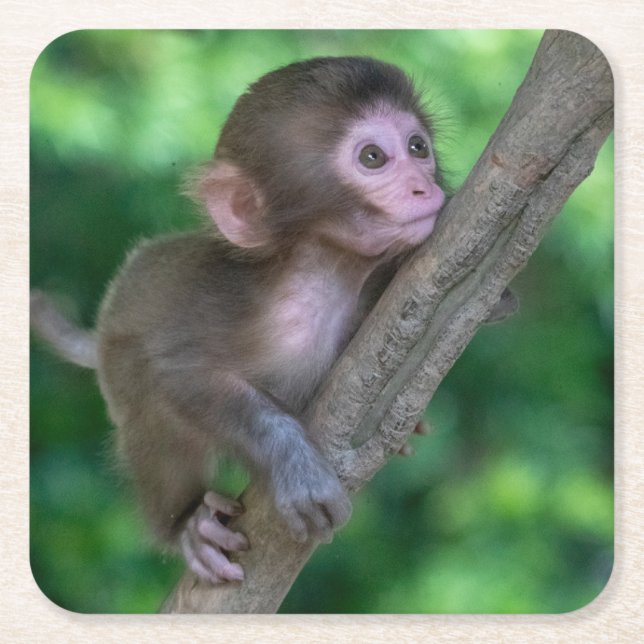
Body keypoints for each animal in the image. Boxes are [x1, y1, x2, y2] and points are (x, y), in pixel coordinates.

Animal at [31, 56, 448, 585]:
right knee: (149, 404)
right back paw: (187, 524)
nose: (424, 186)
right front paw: (293, 465)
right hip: (119, 363)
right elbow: (178, 374)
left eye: (418, 147)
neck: (322, 280)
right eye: (373, 157)